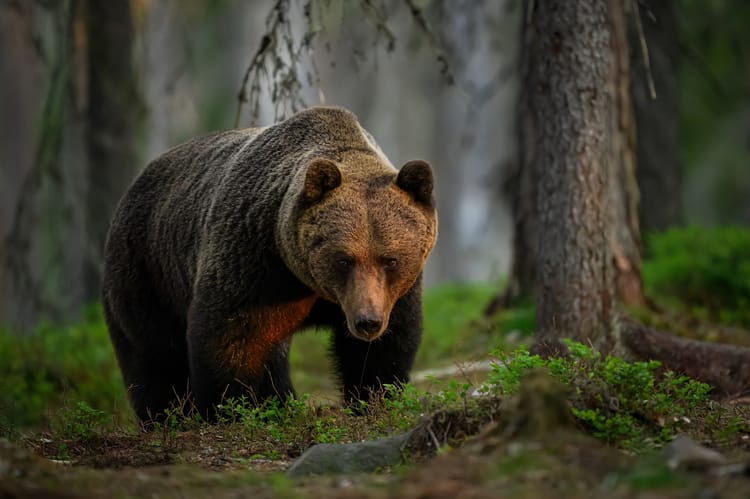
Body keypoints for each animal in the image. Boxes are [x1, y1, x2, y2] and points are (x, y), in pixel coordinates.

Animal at [101, 106, 438, 423]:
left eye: (390, 259)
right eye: (343, 259)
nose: (367, 321)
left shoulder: (394, 293)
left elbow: (385, 346)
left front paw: (374, 397)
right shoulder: (255, 262)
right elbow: (235, 338)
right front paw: (236, 408)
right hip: (146, 271)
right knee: (154, 356)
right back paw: (167, 415)